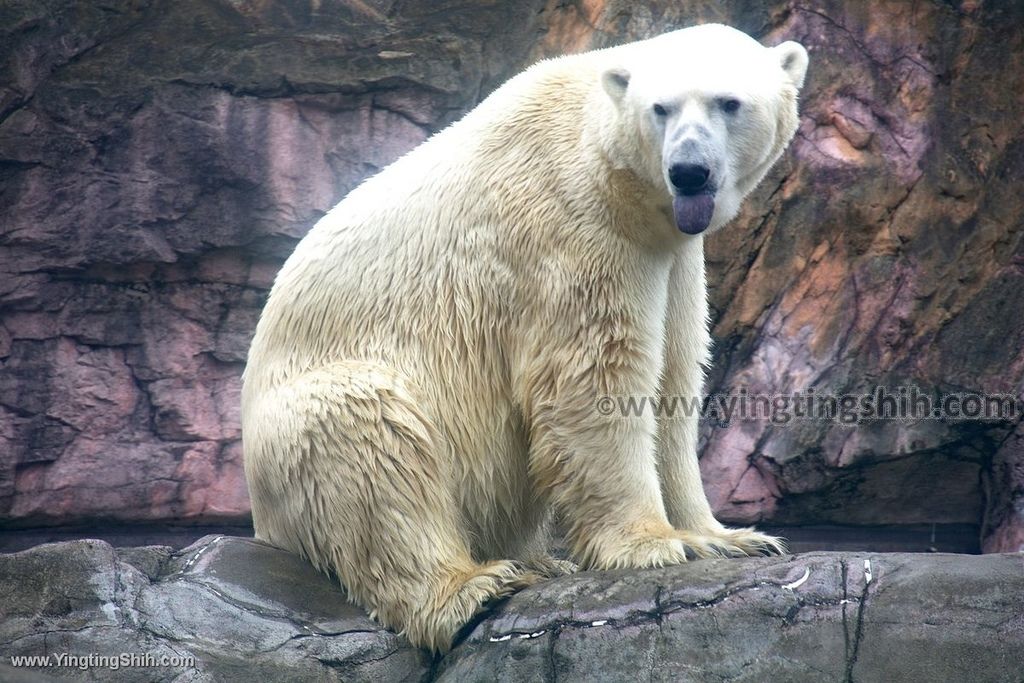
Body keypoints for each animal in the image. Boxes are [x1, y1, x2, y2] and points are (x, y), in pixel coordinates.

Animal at [241, 22, 806, 651]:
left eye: (729, 103)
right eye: (660, 108)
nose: (689, 170)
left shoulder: (673, 255)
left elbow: (673, 377)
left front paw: (725, 537)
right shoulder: (570, 230)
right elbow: (596, 377)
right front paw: (654, 543)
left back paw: (537, 562)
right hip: (306, 417)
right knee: (372, 441)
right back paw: (474, 585)